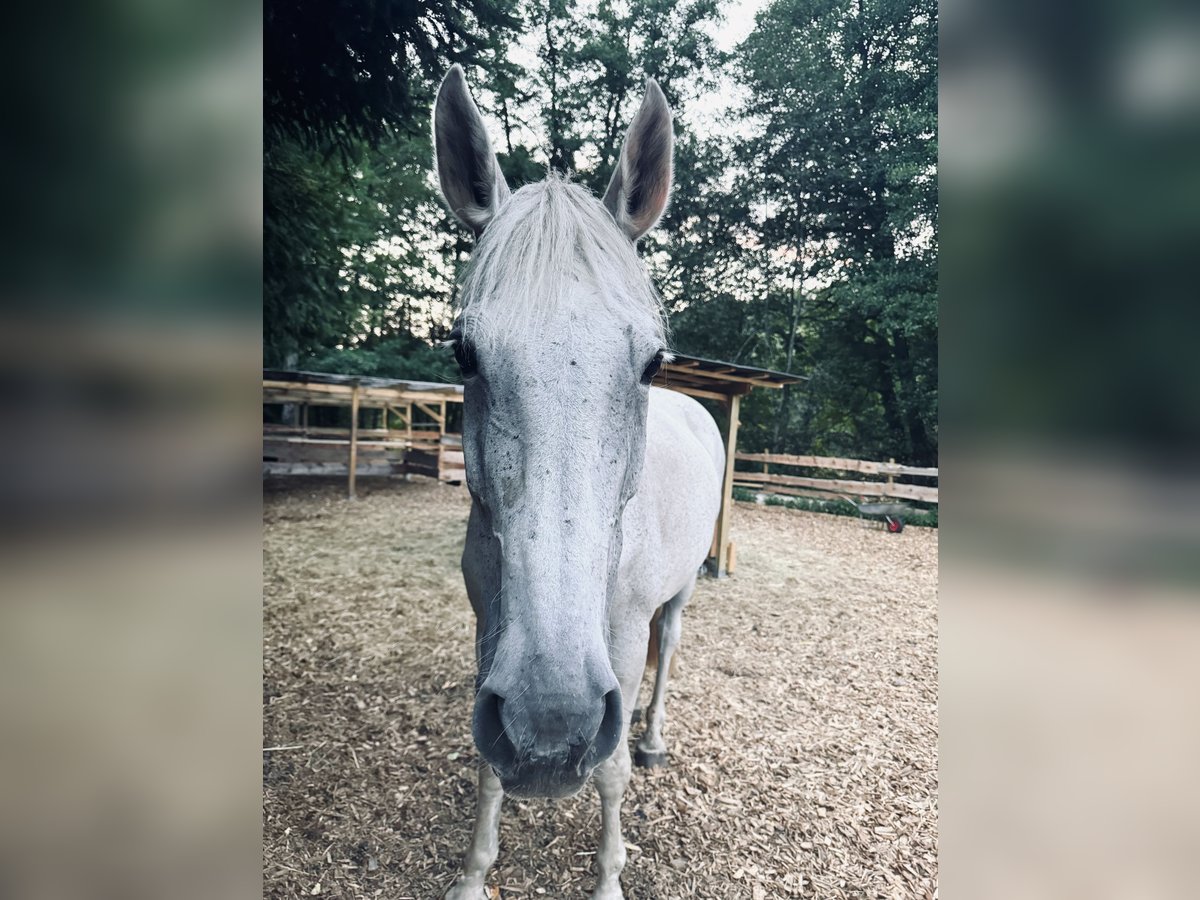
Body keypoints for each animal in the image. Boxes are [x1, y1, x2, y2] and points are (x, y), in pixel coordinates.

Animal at [439, 65, 724, 900]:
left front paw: (608, 880)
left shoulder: (620, 644)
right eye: (462, 354)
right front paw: (474, 875)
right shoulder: (490, 626)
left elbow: (612, 773)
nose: (550, 724)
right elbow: (489, 767)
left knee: (670, 650)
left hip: (679, 596)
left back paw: (655, 737)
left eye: (652, 361)